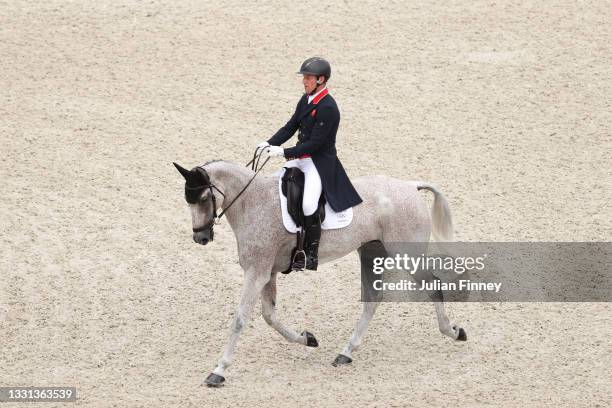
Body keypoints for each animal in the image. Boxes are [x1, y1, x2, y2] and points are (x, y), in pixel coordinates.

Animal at [175, 158, 466, 388]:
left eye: (204, 199)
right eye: (188, 201)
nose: (200, 238)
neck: (253, 203)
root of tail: (409, 186)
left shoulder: (256, 272)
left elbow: (239, 319)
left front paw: (219, 370)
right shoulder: (267, 272)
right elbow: (270, 316)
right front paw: (307, 339)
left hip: (407, 254)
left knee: (432, 287)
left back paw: (454, 332)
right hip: (371, 252)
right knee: (373, 299)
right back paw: (346, 352)